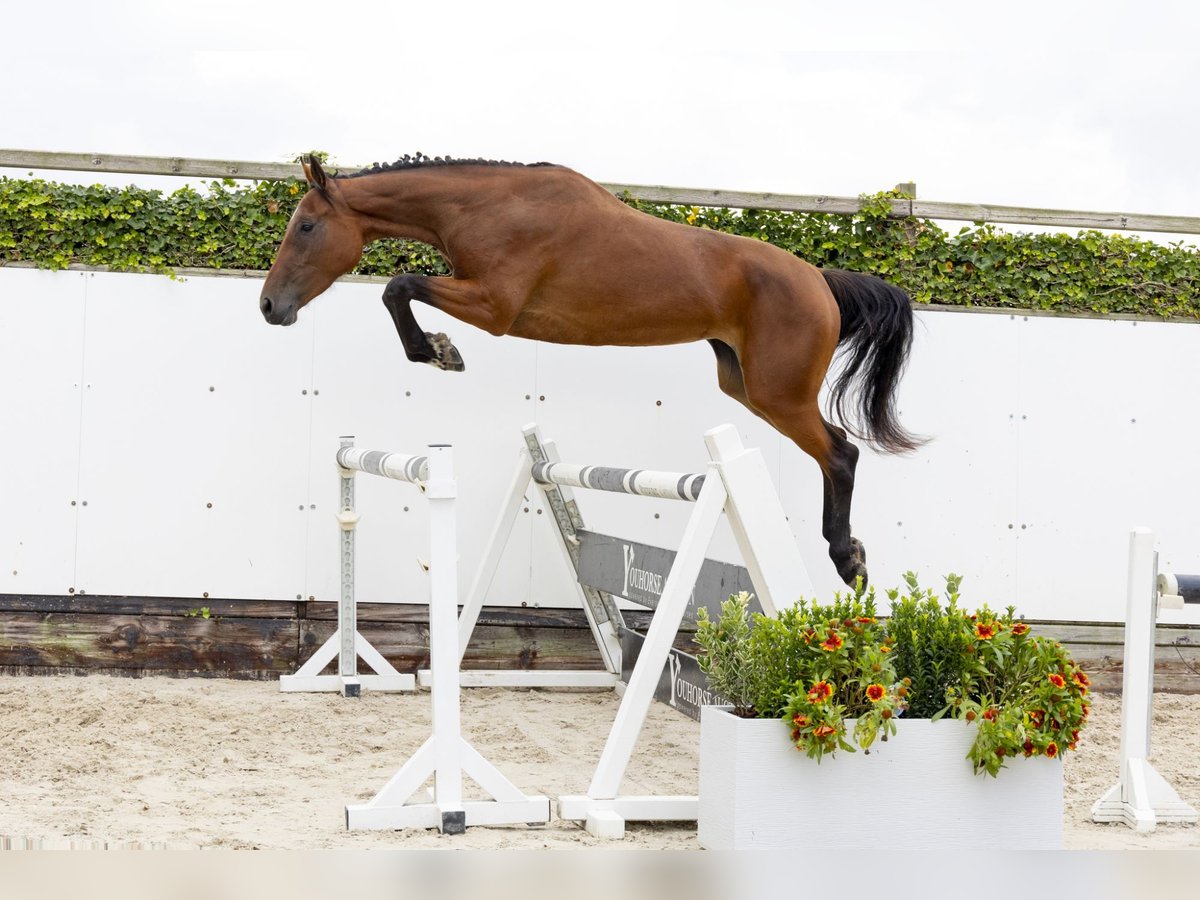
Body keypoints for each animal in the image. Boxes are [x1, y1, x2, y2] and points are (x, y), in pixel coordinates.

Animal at [260, 154, 916, 592]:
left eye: (307, 226)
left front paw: (438, 350)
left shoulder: (494, 308)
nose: (270, 307)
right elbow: (399, 288)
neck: (487, 207)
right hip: (747, 388)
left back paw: (848, 560)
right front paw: (438, 349)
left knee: (840, 453)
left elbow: (398, 286)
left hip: (780, 393)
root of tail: (820, 280)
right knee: (832, 451)